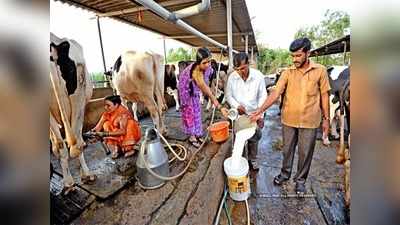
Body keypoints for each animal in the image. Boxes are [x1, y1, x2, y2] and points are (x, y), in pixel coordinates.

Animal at [49, 32, 95, 194]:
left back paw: (68, 182)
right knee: (76, 142)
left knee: (61, 145)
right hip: (78, 98)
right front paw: (85, 175)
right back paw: (85, 175)